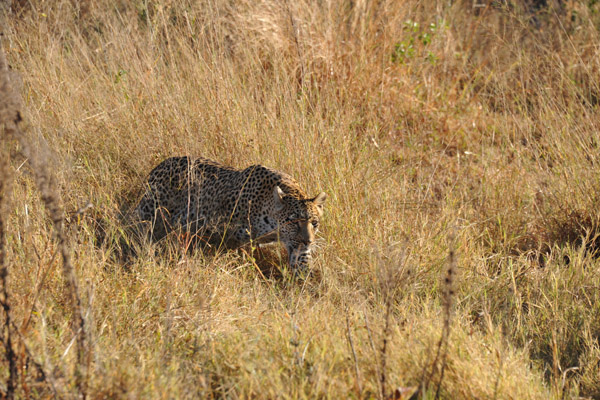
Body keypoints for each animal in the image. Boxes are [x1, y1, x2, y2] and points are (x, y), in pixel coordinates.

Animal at [135, 155, 326, 268]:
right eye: (294, 222)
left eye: (314, 223)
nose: (308, 241)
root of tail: (160, 165)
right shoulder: (230, 237)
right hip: (149, 213)